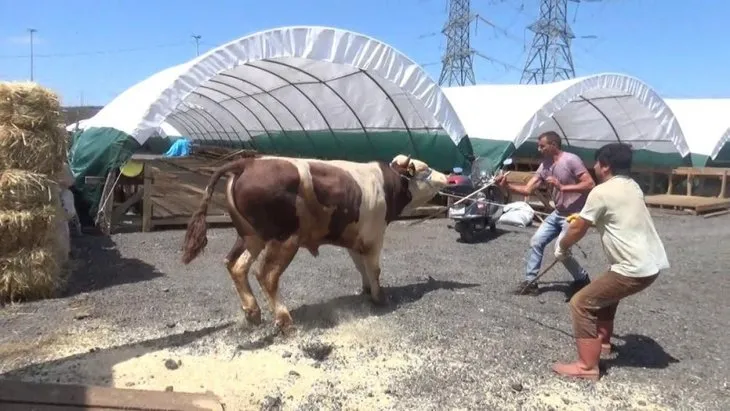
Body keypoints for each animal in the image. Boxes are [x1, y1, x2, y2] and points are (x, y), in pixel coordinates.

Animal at [179, 153, 446, 330]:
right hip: (284, 239)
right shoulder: (374, 235)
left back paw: (253, 313)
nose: (448, 176)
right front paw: (380, 298)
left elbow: (361, 267)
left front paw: (366, 290)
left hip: (250, 235)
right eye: (425, 169)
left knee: (235, 265)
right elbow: (374, 269)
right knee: (265, 274)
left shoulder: (356, 239)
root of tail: (248, 162)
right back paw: (284, 320)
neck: (384, 184)